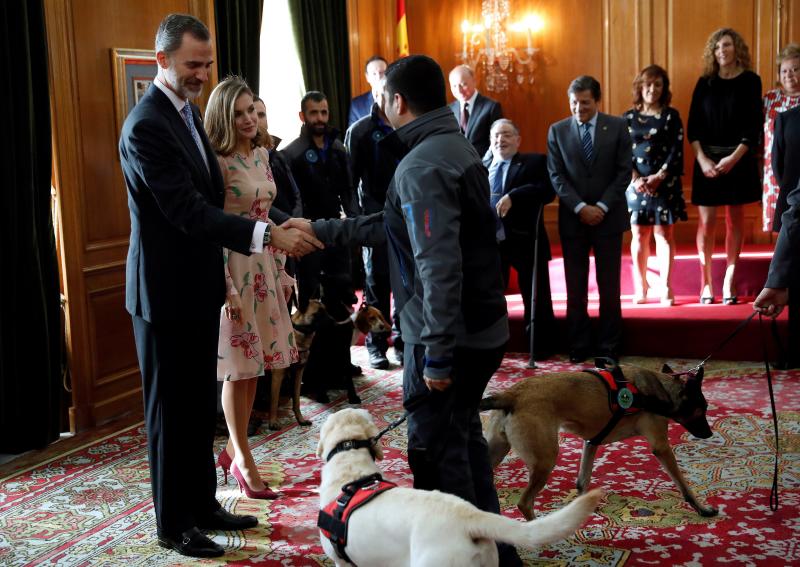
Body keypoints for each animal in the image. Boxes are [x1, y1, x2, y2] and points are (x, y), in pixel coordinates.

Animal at [482, 364, 720, 520]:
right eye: (703, 408)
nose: (709, 434)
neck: (661, 390)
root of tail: (511, 394)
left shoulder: (591, 443)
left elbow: (582, 480)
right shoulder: (662, 447)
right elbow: (683, 484)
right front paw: (702, 508)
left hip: (497, 452)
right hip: (545, 460)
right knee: (524, 503)